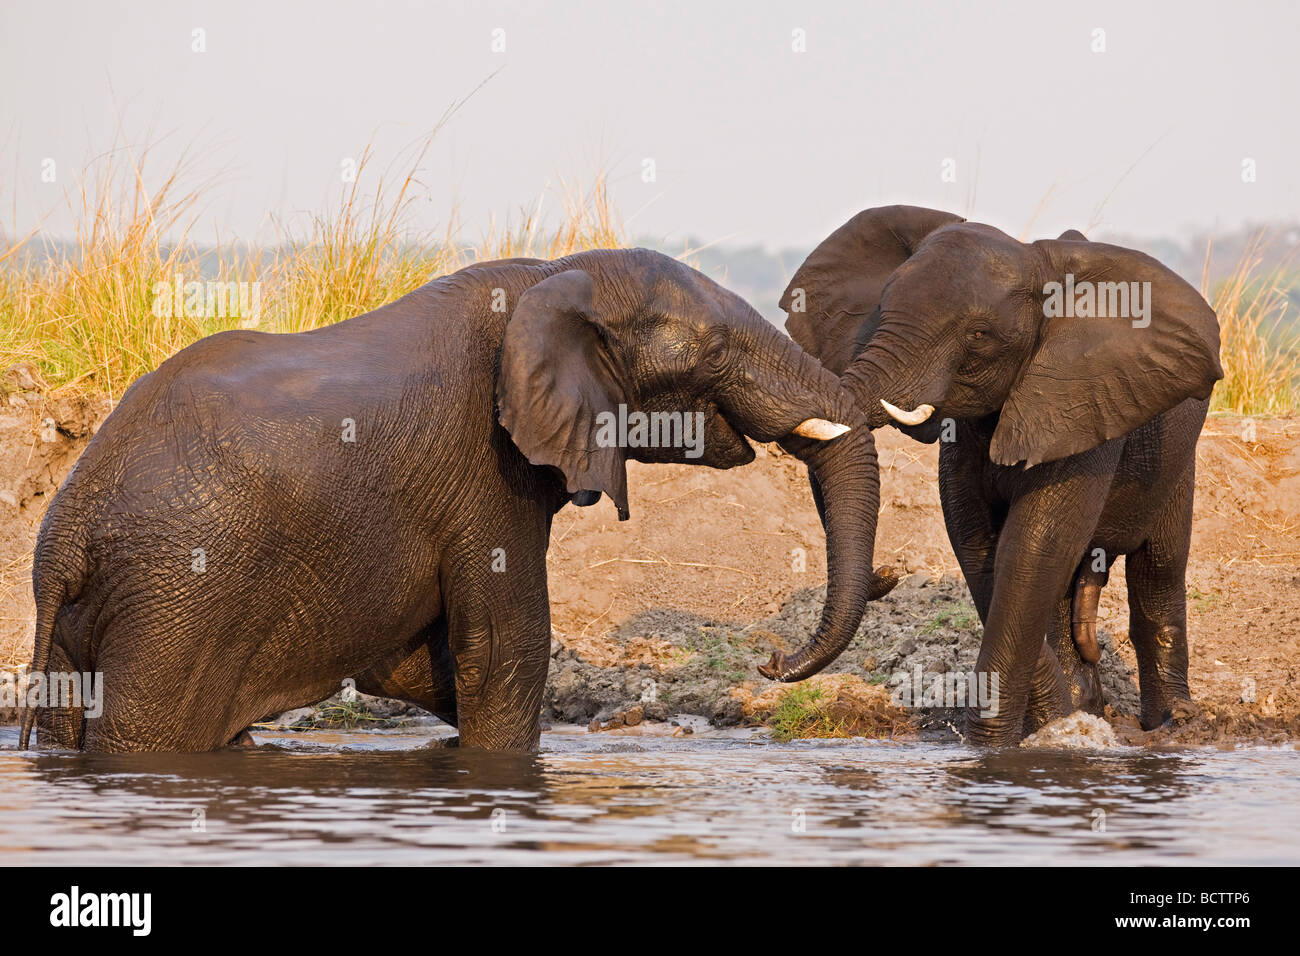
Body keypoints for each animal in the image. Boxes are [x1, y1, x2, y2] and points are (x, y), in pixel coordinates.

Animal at [22, 247, 894, 754]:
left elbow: (426, 661)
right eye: (713, 349)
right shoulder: (484, 470)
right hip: (179, 598)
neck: (558, 274)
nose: (773, 662)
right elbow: (503, 648)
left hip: (95, 617)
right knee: (151, 729)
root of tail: (65, 536)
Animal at [759, 208, 1216, 749]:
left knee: (1158, 571)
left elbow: (1031, 547)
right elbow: (979, 547)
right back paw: (1086, 708)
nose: (770, 661)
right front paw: (1053, 727)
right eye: (881, 310)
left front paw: (998, 747)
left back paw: (1172, 723)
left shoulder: (1081, 404)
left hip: (1175, 452)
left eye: (978, 336)